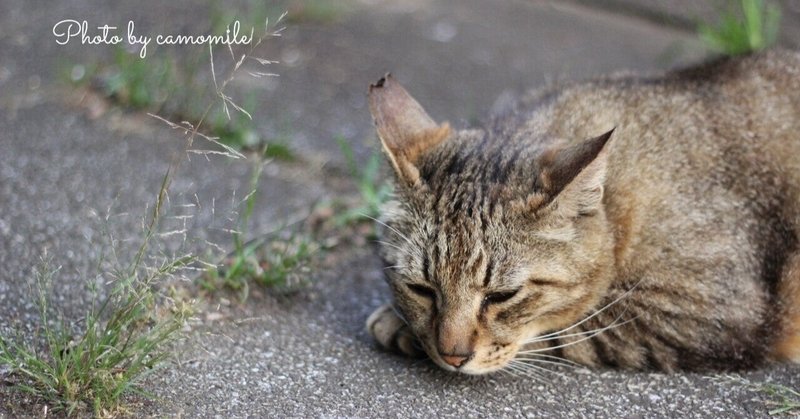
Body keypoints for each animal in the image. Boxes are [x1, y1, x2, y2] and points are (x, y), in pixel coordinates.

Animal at [366, 48, 800, 374]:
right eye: (421, 288)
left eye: (503, 296)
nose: (452, 356)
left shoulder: (706, 312)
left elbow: (574, 329)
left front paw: (397, 325)